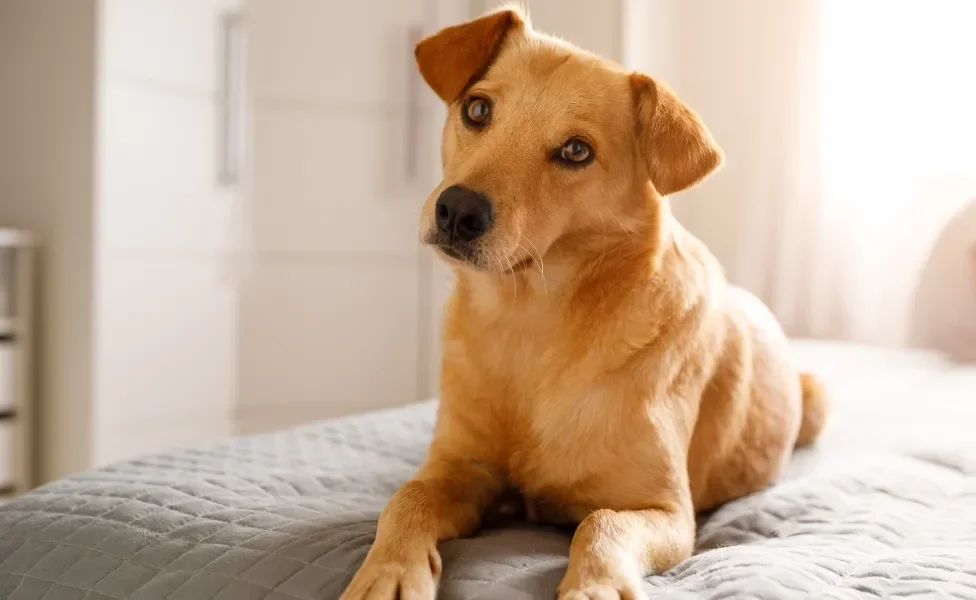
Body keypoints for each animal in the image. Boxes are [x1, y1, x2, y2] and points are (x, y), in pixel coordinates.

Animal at [340, 5, 828, 600]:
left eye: (576, 151)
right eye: (477, 109)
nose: (457, 211)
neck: (529, 318)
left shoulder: (667, 512)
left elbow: (600, 522)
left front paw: (594, 585)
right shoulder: (460, 466)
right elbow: (407, 497)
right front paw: (388, 569)